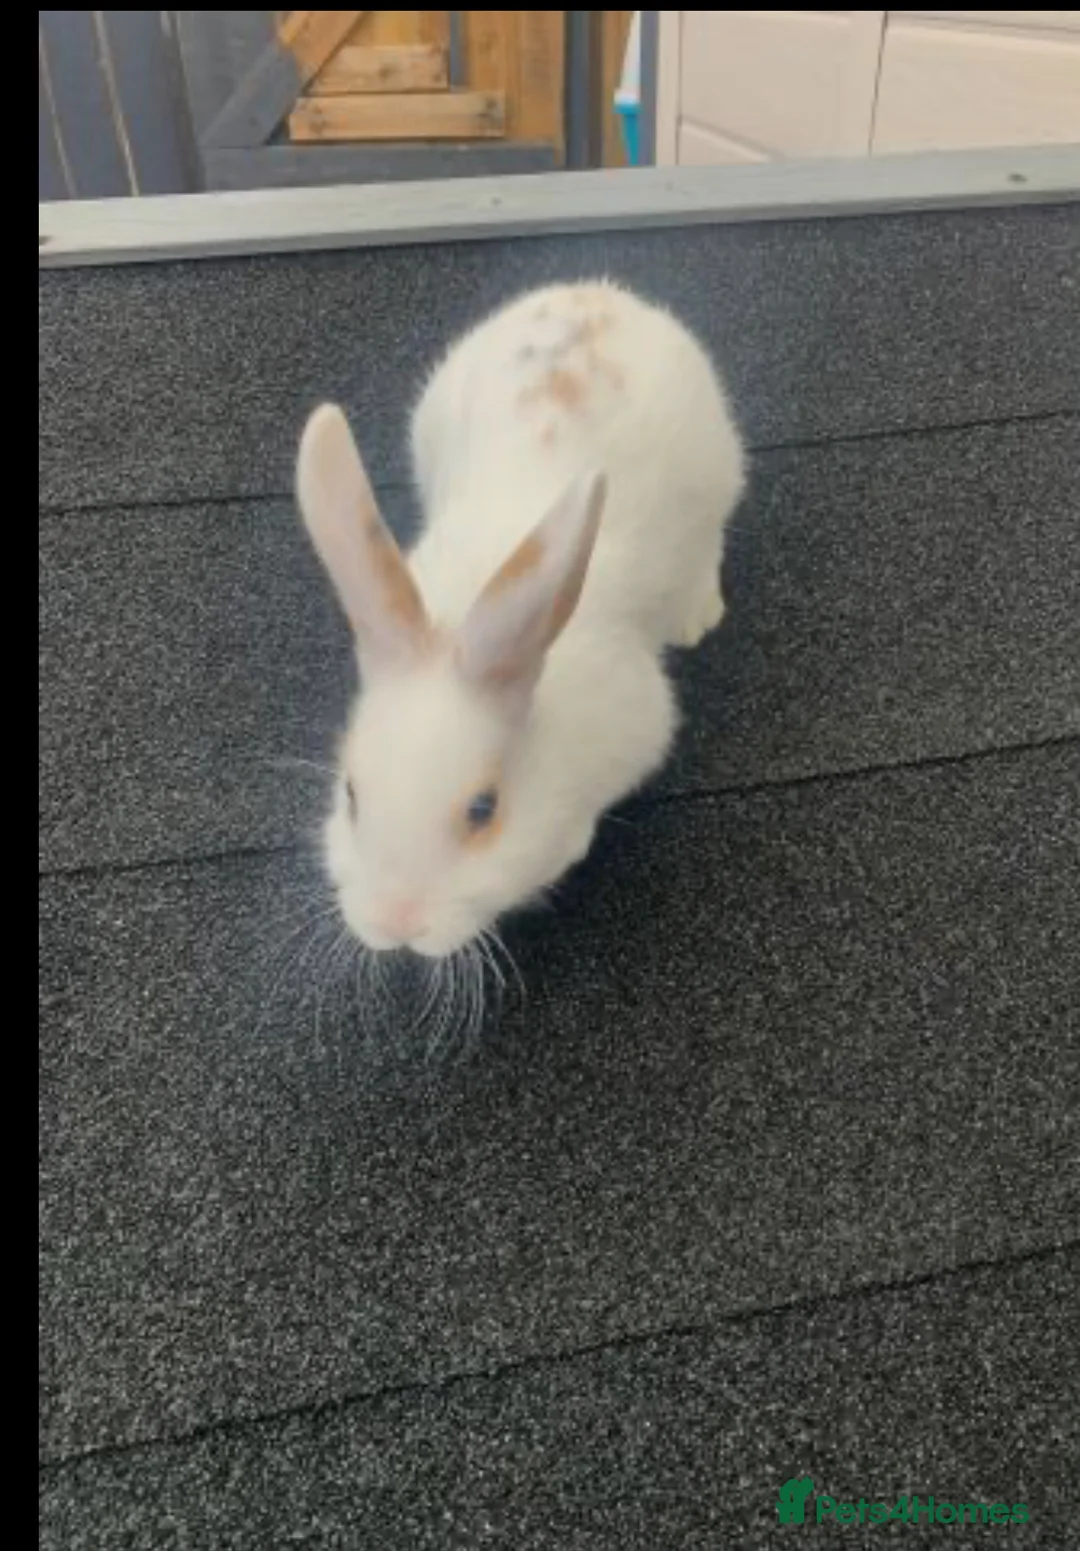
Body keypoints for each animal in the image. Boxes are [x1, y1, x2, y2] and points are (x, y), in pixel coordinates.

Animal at [297, 278, 745, 960]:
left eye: (483, 810)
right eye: (351, 794)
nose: (397, 924)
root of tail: (595, 292)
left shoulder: (639, 719)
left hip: (714, 477)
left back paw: (696, 615)